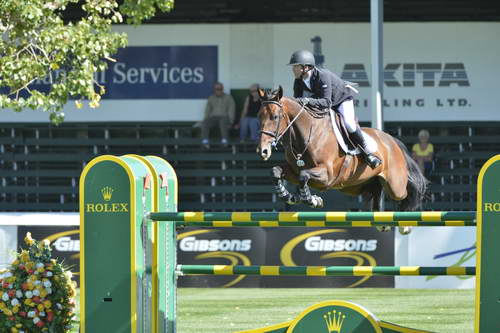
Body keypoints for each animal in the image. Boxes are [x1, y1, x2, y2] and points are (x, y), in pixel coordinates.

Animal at [258, 85, 426, 231]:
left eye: (275, 117)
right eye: (259, 116)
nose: (263, 151)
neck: (307, 135)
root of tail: (392, 141)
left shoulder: (327, 175)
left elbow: (303, 175)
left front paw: (312, 200)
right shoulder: (294, 170)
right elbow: (276, 171)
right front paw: (288, 196)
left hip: (395, 185)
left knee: (406, 193)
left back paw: (405, 224)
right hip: (360, 185)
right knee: (376, 197)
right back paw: (383, 224)